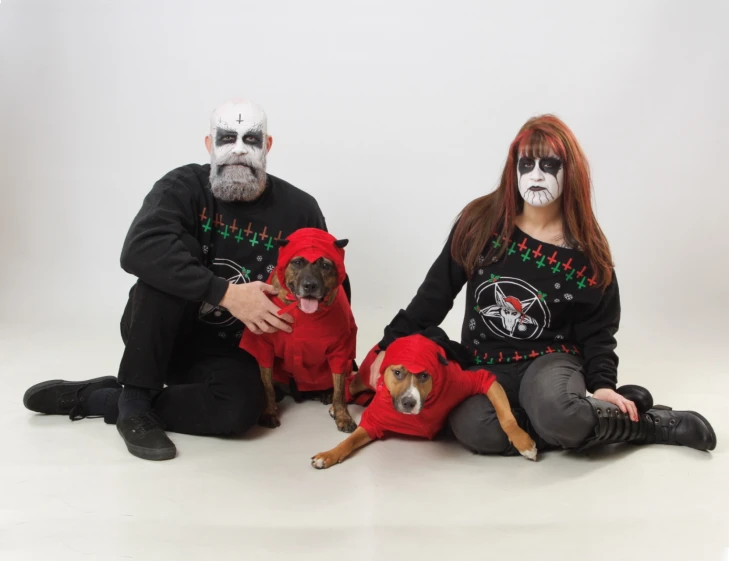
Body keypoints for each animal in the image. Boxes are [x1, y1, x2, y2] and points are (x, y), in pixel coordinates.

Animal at [239, 228, 358, 434]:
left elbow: (340, 390)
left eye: (325, 265)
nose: (310, 285)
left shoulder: (340, 350)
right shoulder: (264, 348)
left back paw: (327, 396)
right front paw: (269, 411)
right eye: (297, 262)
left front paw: (342, 415)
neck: (303, 314)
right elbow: (267, 386)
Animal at [310, 330, 536, 466]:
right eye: (398, 373)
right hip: (365, 378)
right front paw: (329, 455)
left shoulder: (480, 381)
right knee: (348, 383)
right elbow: (348, 441)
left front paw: (523, 442)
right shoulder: (373, 422)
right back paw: (336, 406)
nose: (409, 403)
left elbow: (505, 416)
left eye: (424, 375)